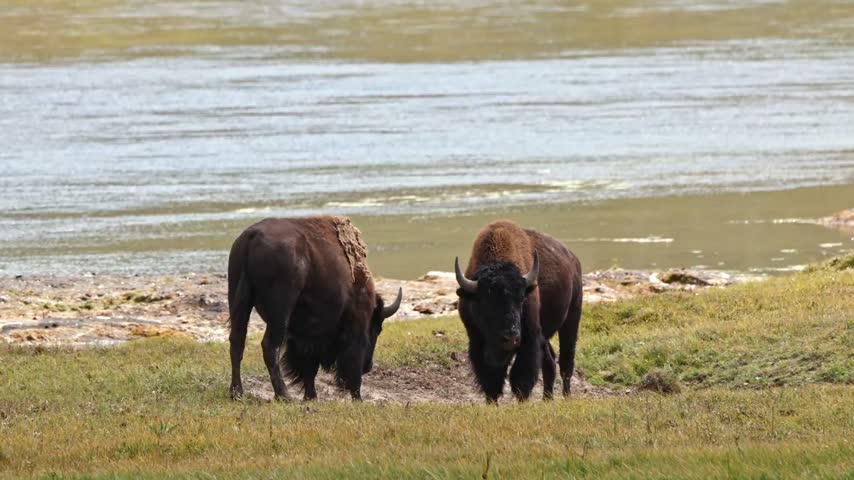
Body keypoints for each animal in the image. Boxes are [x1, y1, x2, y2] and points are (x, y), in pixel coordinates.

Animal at [227, 215, 402, 401]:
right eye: (376, 330)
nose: (368, 367)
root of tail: (252, 236)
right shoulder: (355, 325)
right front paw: (357, 398)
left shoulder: (305, 336)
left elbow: (308, 367)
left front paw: (311, 396)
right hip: (280, 313)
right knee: (269, 346)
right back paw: (284, 395)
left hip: (239, 301)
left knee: (237, 342)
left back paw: (237, 393)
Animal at [455, 220, 582, 402]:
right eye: (485, 302)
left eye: (521, 299)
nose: (511, 337)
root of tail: (573, 259)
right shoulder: (476, 340)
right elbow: (489, 378)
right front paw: (492, 402)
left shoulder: (529, 336)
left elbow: (522, 376)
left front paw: (522, 400)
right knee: (550, 361)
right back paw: (547, 399)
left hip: (572, 318)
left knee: (566, 362)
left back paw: (566, 397)